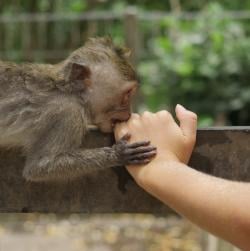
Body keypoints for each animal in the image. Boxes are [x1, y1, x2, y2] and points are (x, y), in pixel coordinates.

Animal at [0, 37, 156, 181]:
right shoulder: (67, 114)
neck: (70, 91)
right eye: (128, 94)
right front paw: (118, 153)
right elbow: (40, 166)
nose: (129, 113)